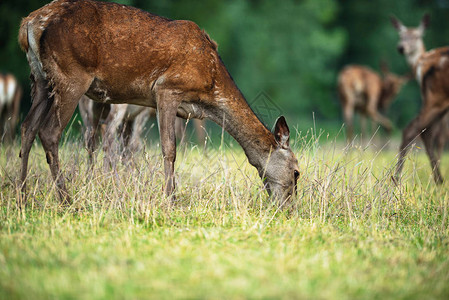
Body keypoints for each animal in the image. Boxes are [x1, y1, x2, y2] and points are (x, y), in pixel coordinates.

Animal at [17, 0, 300, 205]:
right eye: (297, 172)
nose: (287, 208)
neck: (210, 89)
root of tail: (29, 23)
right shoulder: (167, 88)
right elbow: (169, 148)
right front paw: (170, 199)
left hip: (40, 79)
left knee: (28, 127)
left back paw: (22, 195)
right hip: (71, 76)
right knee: (50, 131)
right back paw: (66, 199)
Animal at [388, 15, 448, 184]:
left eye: (416, 36)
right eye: (401, 35)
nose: (401, 47)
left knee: (427, 132)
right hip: (438, 97)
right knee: (416, 130)